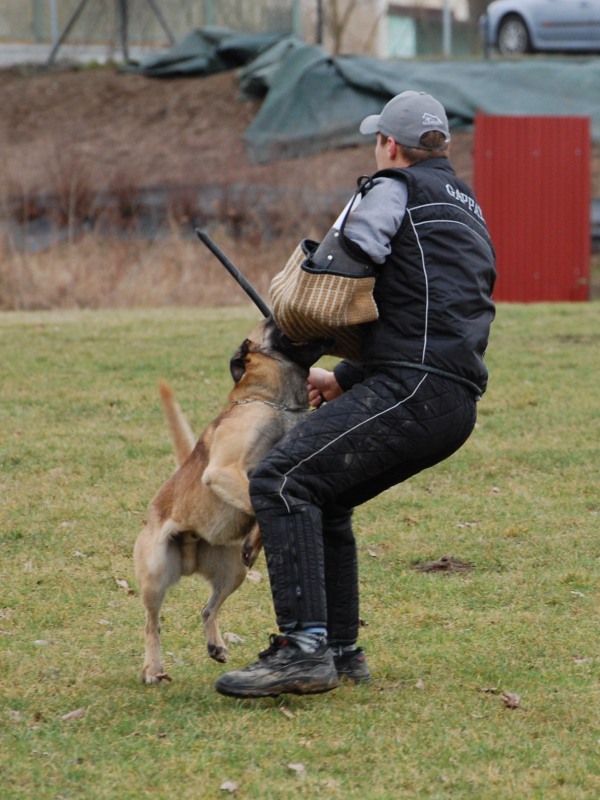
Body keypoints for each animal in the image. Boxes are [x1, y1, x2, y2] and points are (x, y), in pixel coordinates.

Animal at [133, 316, 328, 684]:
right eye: (273, 320)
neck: (275, 404)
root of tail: (192, 551)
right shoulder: (222, 471)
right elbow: (255, 499)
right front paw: (255, 536)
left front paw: (256, 540)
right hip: (155, 572)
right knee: (153, 624)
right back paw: (153, 667)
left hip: (233, 572)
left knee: (207, 609)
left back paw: (215, 644)